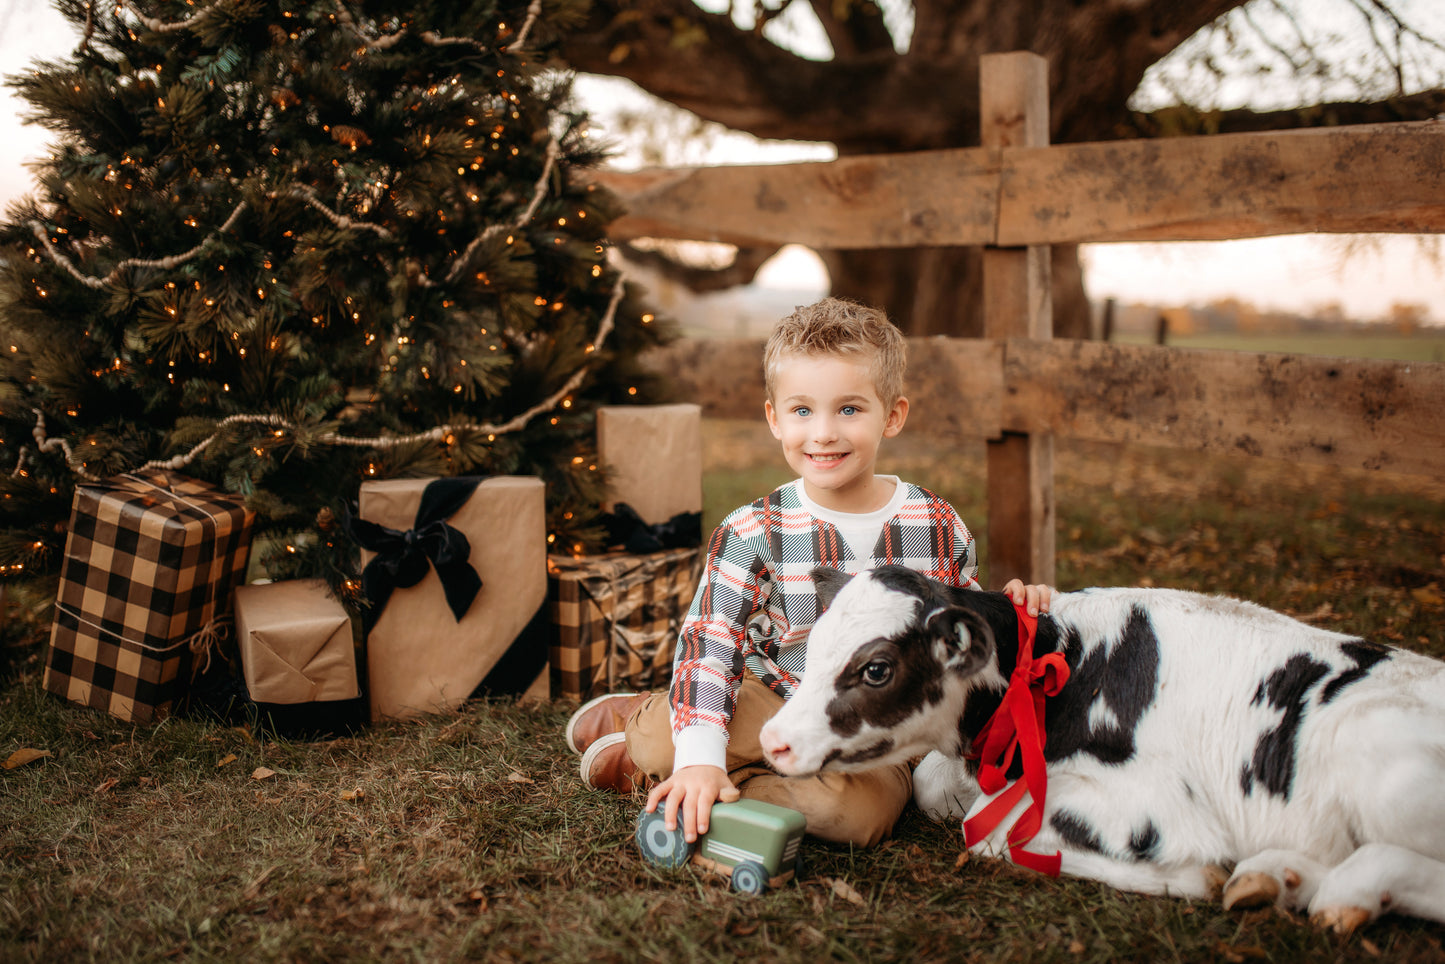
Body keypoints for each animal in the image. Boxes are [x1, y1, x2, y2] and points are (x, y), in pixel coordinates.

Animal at [757, 566, 1445, 936]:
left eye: (876, 668)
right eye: (814, 643)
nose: (772, 739)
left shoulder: (1161, 808)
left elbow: (991, 832)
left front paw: (1195, 874)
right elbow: (932, 782)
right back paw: (1277, 878)